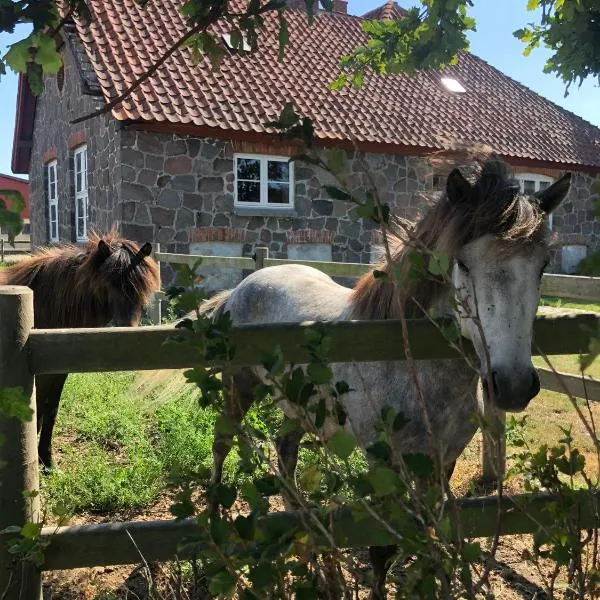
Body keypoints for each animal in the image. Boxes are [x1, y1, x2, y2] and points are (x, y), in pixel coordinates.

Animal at [0, 231, 159, 468]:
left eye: (142, 285)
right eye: (109, 283)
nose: (128, 334)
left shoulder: (56, 373)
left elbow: (51, 410)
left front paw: (47, 460)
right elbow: (38, 410)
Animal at [203, 157, 572, 596]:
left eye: (542, 267)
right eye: (463, 263)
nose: (513, 386)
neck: (412, 365)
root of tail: (240, 288)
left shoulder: (441, 462)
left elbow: (430, 530)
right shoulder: (385, 467)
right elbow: (382, 551)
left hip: (298, 406)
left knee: (285, 455)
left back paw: (311, 550)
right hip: (238, 388)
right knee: (222, 442)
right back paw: (214, 532)